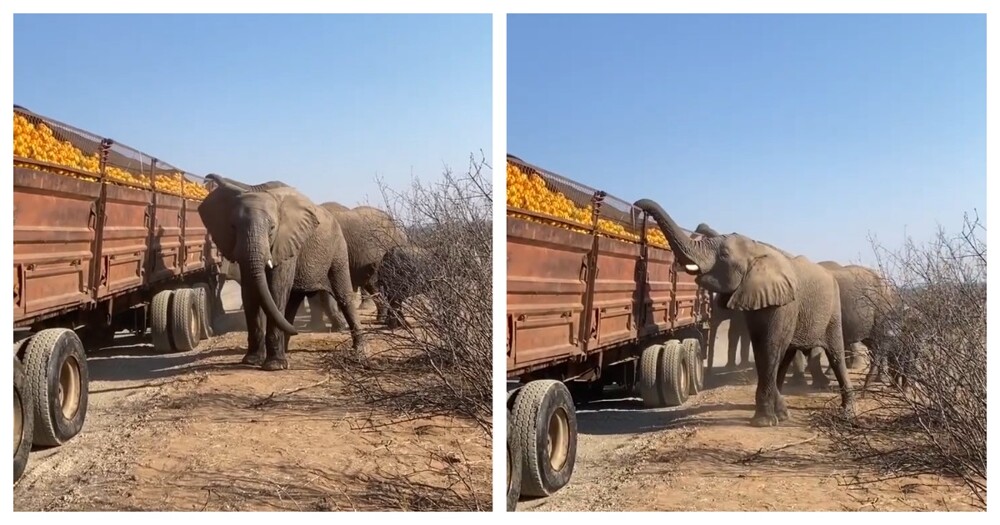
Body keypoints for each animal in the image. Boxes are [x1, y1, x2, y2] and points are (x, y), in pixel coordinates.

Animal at [197, 173, 366, 368]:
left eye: (272, 228)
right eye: (233, 227)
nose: (207, 177)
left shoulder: (287, 241)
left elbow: (276, 288)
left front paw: (273, 366)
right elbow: (250, 291)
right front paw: (252, 361)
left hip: (337, 248)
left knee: (342, 294)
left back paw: (359, 351)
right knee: (292, 301)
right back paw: (285, 347)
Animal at [636, 199, 856, 424]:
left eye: (724, 255)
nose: (638, 204)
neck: (758, 249)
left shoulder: (784, 303)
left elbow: (770, 347)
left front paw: (763, 422)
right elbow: (761, 347)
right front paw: (774, 416)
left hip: (833, 311)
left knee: (835, 354)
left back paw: (847, 412)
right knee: (787, 354)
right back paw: (785, 412)